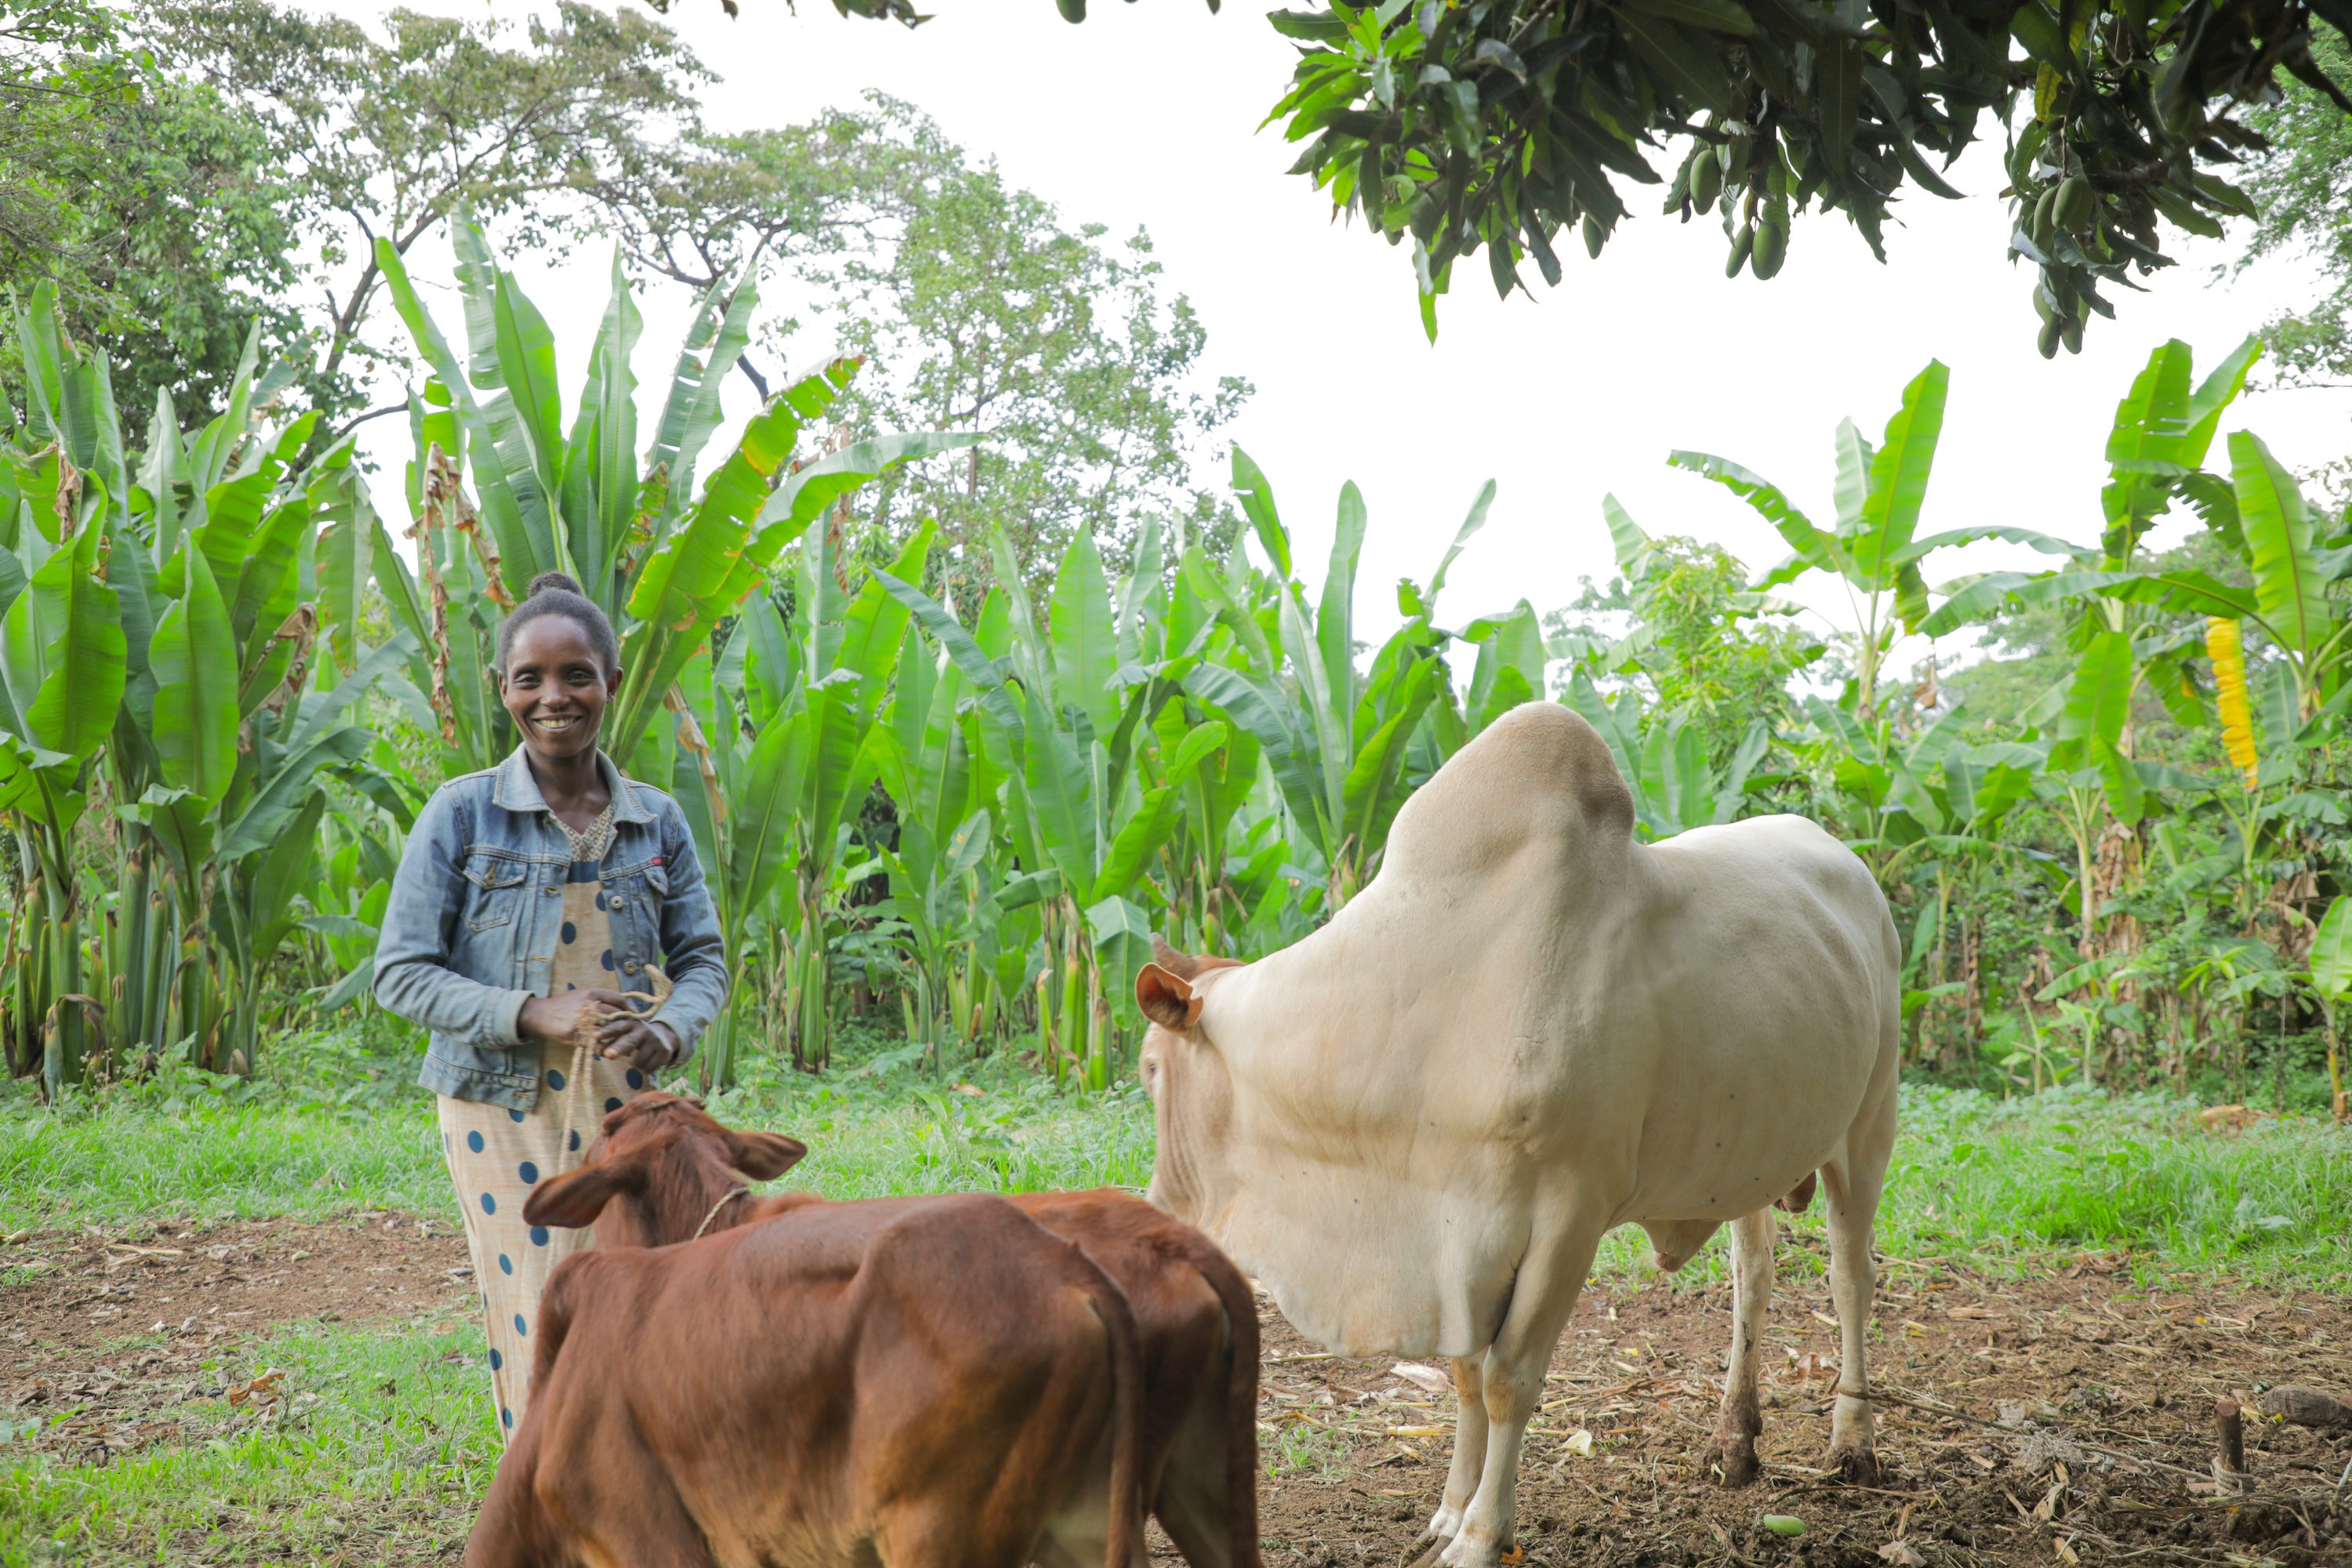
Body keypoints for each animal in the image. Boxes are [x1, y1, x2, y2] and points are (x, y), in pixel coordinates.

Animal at [1132, 702, 1900, 1568]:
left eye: (1150, 1068)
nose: (1159, 1200)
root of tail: (1853, 868)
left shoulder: (1569, 1216)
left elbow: (1509, 1381)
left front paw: (1479, 1534)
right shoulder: (1455, 1236)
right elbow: (1466, 1374)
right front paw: (1447, 1511)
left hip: (1870, 1122)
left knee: (1850, 1276)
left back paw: (1853, 1443)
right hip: (1750, 1154)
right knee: (1754, 1274)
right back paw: (1734, 1439)